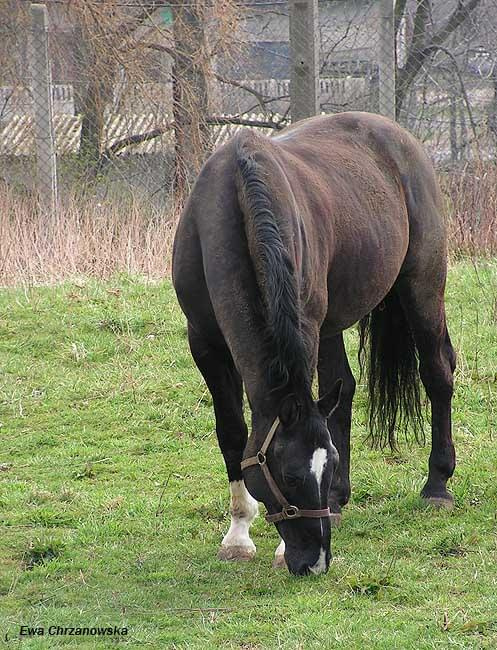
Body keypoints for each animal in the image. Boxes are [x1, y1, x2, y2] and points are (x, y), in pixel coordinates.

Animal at [172, 112, 456, 576]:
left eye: (327, 467)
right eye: (289, 477)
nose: (315, 562)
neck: (235, 204)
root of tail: (399, 136)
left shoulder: (304, 325)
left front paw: (273, 546)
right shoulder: (205, 342)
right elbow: (232, 432)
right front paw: (238, 536)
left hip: (422, 286)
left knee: (437, 373)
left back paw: (438, 485)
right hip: (333, 323)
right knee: (345, 387)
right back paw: (341, 500)